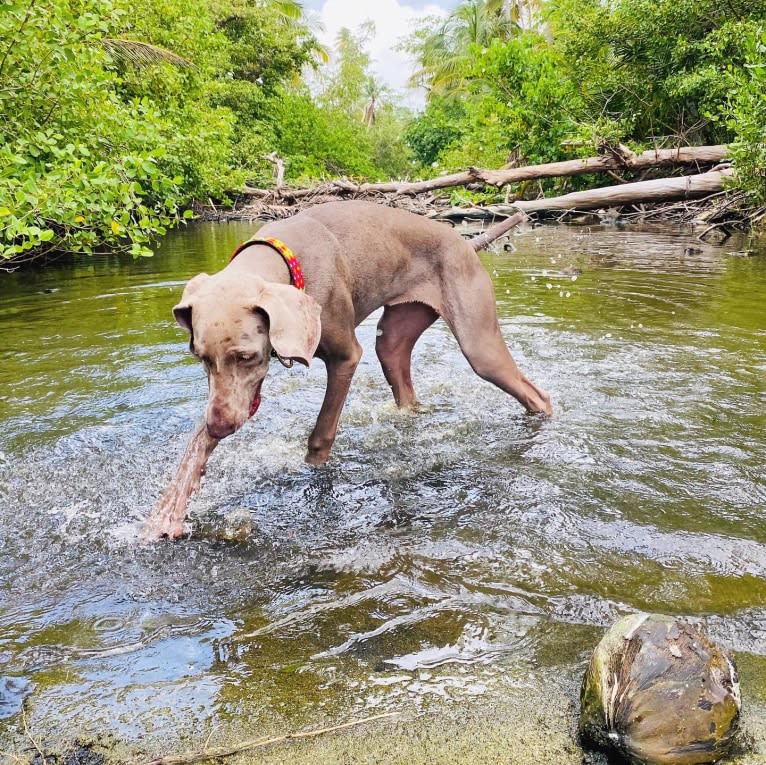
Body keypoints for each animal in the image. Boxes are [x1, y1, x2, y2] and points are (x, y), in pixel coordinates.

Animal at [142, 200, 552, 540]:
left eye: (246, 356)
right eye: (200, 357)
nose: (219, 426)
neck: (288, 259)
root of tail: (465, 242)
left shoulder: (345, 357)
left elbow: (320, 434)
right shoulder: (234, 395)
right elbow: (196, 446)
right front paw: (167, 511)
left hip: (479, 343)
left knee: (536, 394)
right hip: (394, 340)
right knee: (402, 379)